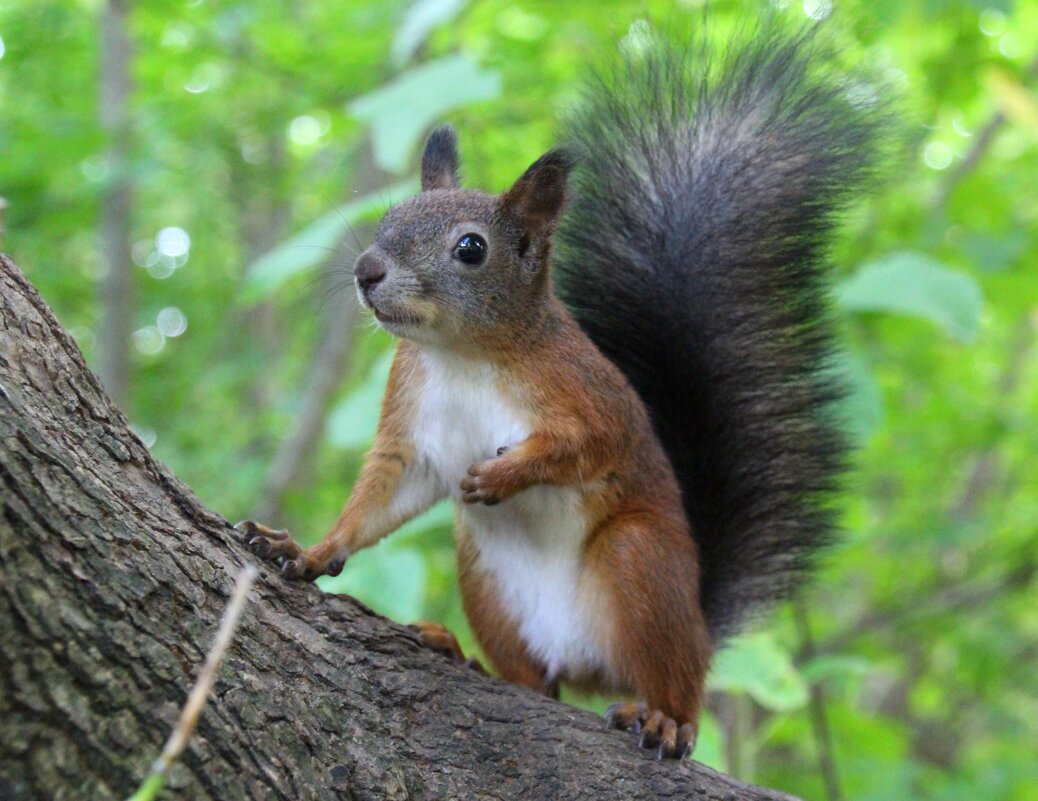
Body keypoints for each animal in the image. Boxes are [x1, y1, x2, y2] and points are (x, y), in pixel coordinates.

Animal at [238, 25, 888, 759]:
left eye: (471, 248)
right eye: (390, 216)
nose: (366, 270)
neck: (462, 356)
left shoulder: (590, 391)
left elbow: (589, 445)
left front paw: (509, 473)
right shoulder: (411, 417)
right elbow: (382, 494)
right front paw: (307, 551)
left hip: (640, 563)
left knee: (675, 685)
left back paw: (666, 719)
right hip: (486, 576)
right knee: (535, 684)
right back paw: (462, 654)